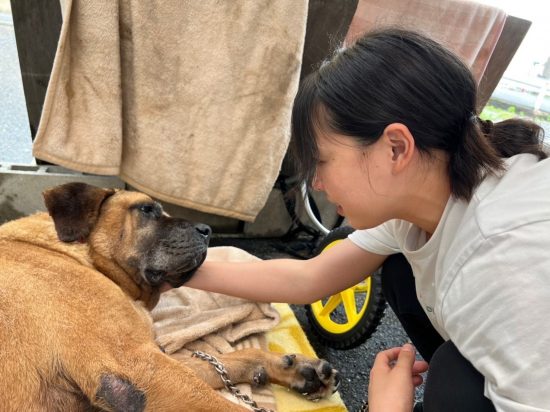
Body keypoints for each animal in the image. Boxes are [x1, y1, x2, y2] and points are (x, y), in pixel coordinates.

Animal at [0, 184, 340, 412]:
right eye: (146, 209)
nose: (207, 229)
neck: (80, 254)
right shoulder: (139, 368)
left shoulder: (155, 362)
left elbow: (228, 360)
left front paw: (293, 368)